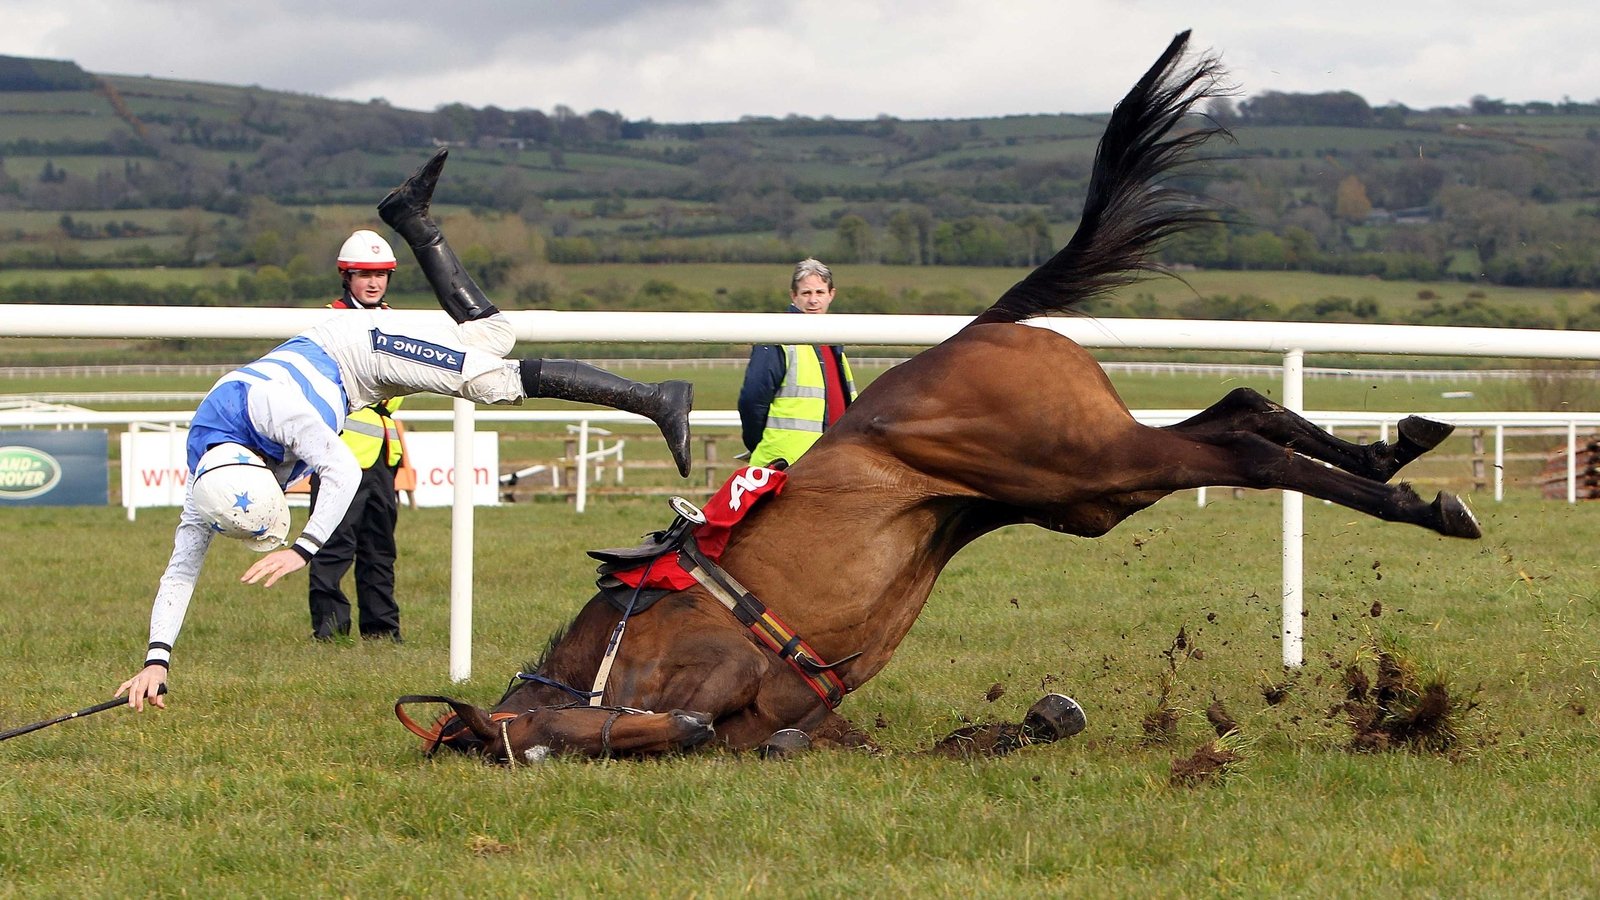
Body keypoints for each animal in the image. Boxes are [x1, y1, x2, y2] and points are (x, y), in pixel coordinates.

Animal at [393, 29, 1478, 755]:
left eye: (533, 747)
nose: (679, 729)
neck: (607, 662)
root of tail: (980, 325)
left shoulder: (713, 672)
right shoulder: (805, 719)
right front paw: (1044, 716)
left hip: (1068, 462)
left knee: (1245, 447)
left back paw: (1429, 502)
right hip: (1081, 487)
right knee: (1243, 409)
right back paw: (1397, 447)